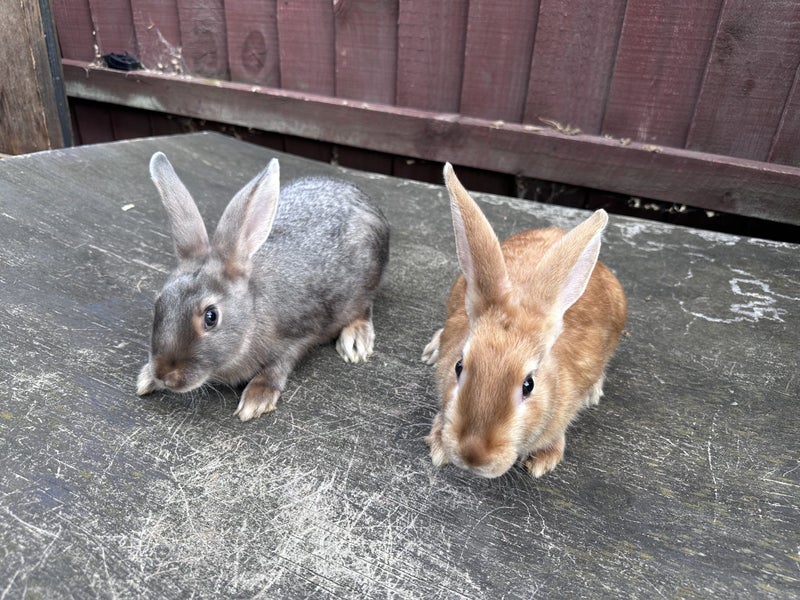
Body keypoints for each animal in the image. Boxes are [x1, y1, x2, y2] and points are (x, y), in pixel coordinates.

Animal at [136, 152, 390, 421]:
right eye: (158, 304)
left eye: (211, 317)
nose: (164, 375)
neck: (253, 314)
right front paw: (146, 378)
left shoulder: (298, 337)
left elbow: (279, 365)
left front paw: (256, 398)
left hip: (363, 287)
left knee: (364, 307)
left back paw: (356, 341)